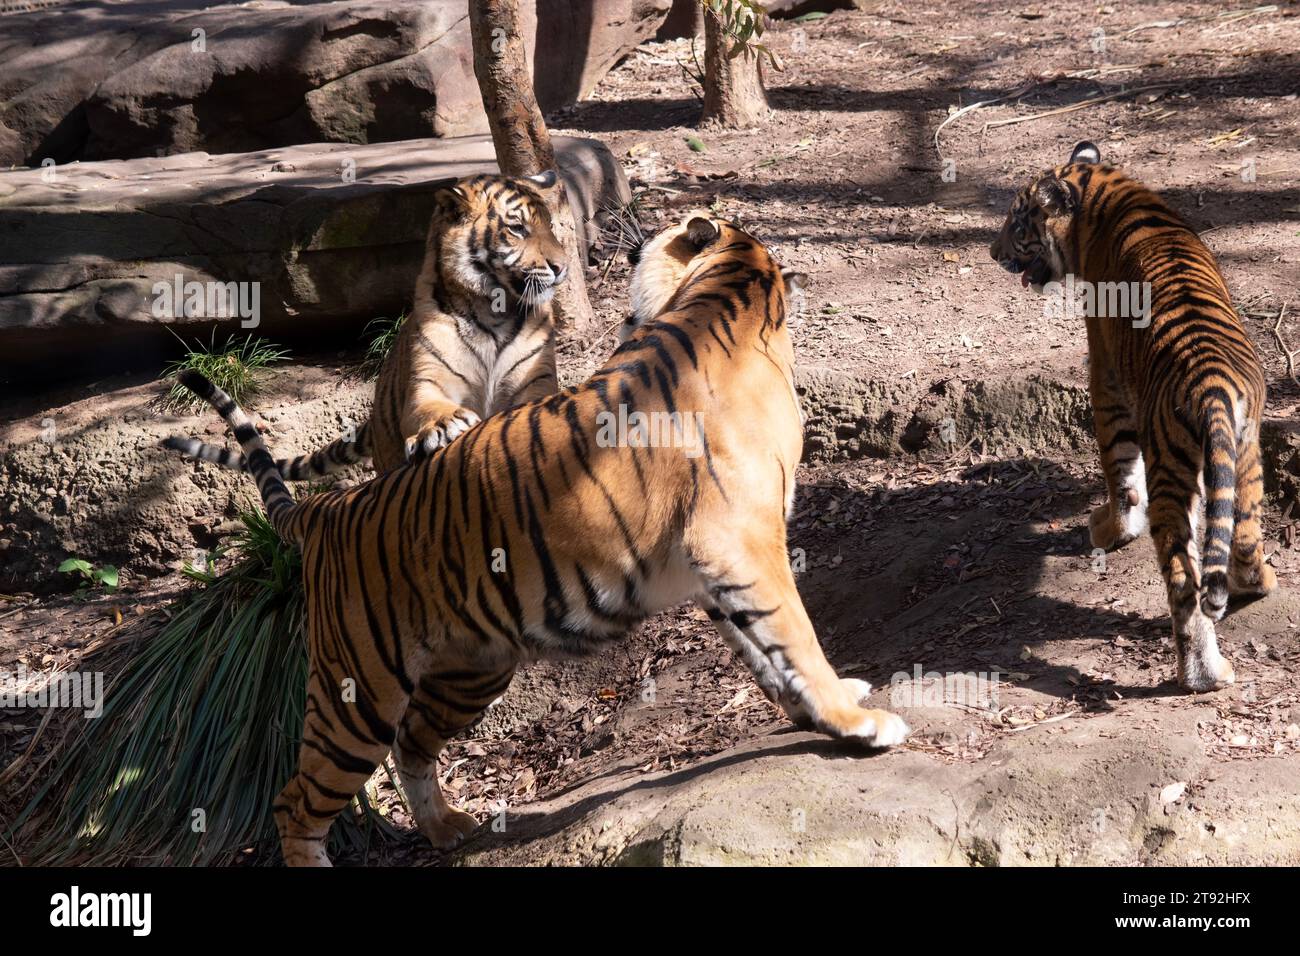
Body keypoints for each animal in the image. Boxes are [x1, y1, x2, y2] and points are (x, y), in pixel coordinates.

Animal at [163, 171, 567, 478]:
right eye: (517, 228)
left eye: (549, 225)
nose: (562, 266)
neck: (494, 310)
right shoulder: (427, 383)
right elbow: (431, 408)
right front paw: (442, 425)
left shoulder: (535, 381)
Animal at [165, 212, 909, 866]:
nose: (620, 239)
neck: (742, 296)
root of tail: (333, 507)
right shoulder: (738, 538)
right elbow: (794, 633)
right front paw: (858, 722)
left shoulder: (717, 562)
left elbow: (763, 648)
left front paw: (815, 710)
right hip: (359, 691)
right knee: (295, 800)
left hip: (471, 667)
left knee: (412, 745)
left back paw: (446, 828)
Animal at [990, 140, 1276, 692]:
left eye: (1016, 222)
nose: (993, 253)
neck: (1099, 188)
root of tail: (1211, 385)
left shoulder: (1104, 369)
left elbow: (1118, 467)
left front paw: (1110, 528)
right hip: (1247, 451)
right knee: (1245, 532)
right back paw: (1256, 583)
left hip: (1171, 472)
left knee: (1184, 582)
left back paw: (1201, 672)